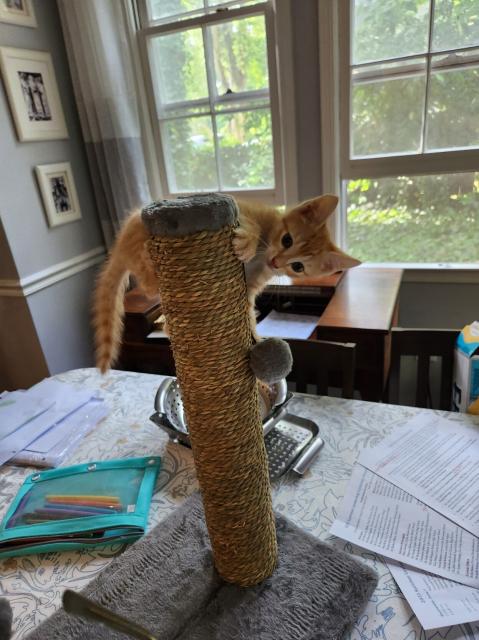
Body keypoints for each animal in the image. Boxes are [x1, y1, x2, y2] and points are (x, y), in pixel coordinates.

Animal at [93, 198, 360, 372]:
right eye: (287, 240)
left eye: (298, 267)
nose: (276, 262)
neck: (263, 254)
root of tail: (119, 247)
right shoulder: (240, 210)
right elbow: (251, 224)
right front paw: (247, 242)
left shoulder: (249, 286)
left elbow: (248, 312)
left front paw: (256, 340)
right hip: (142, 239)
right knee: (149, 284)